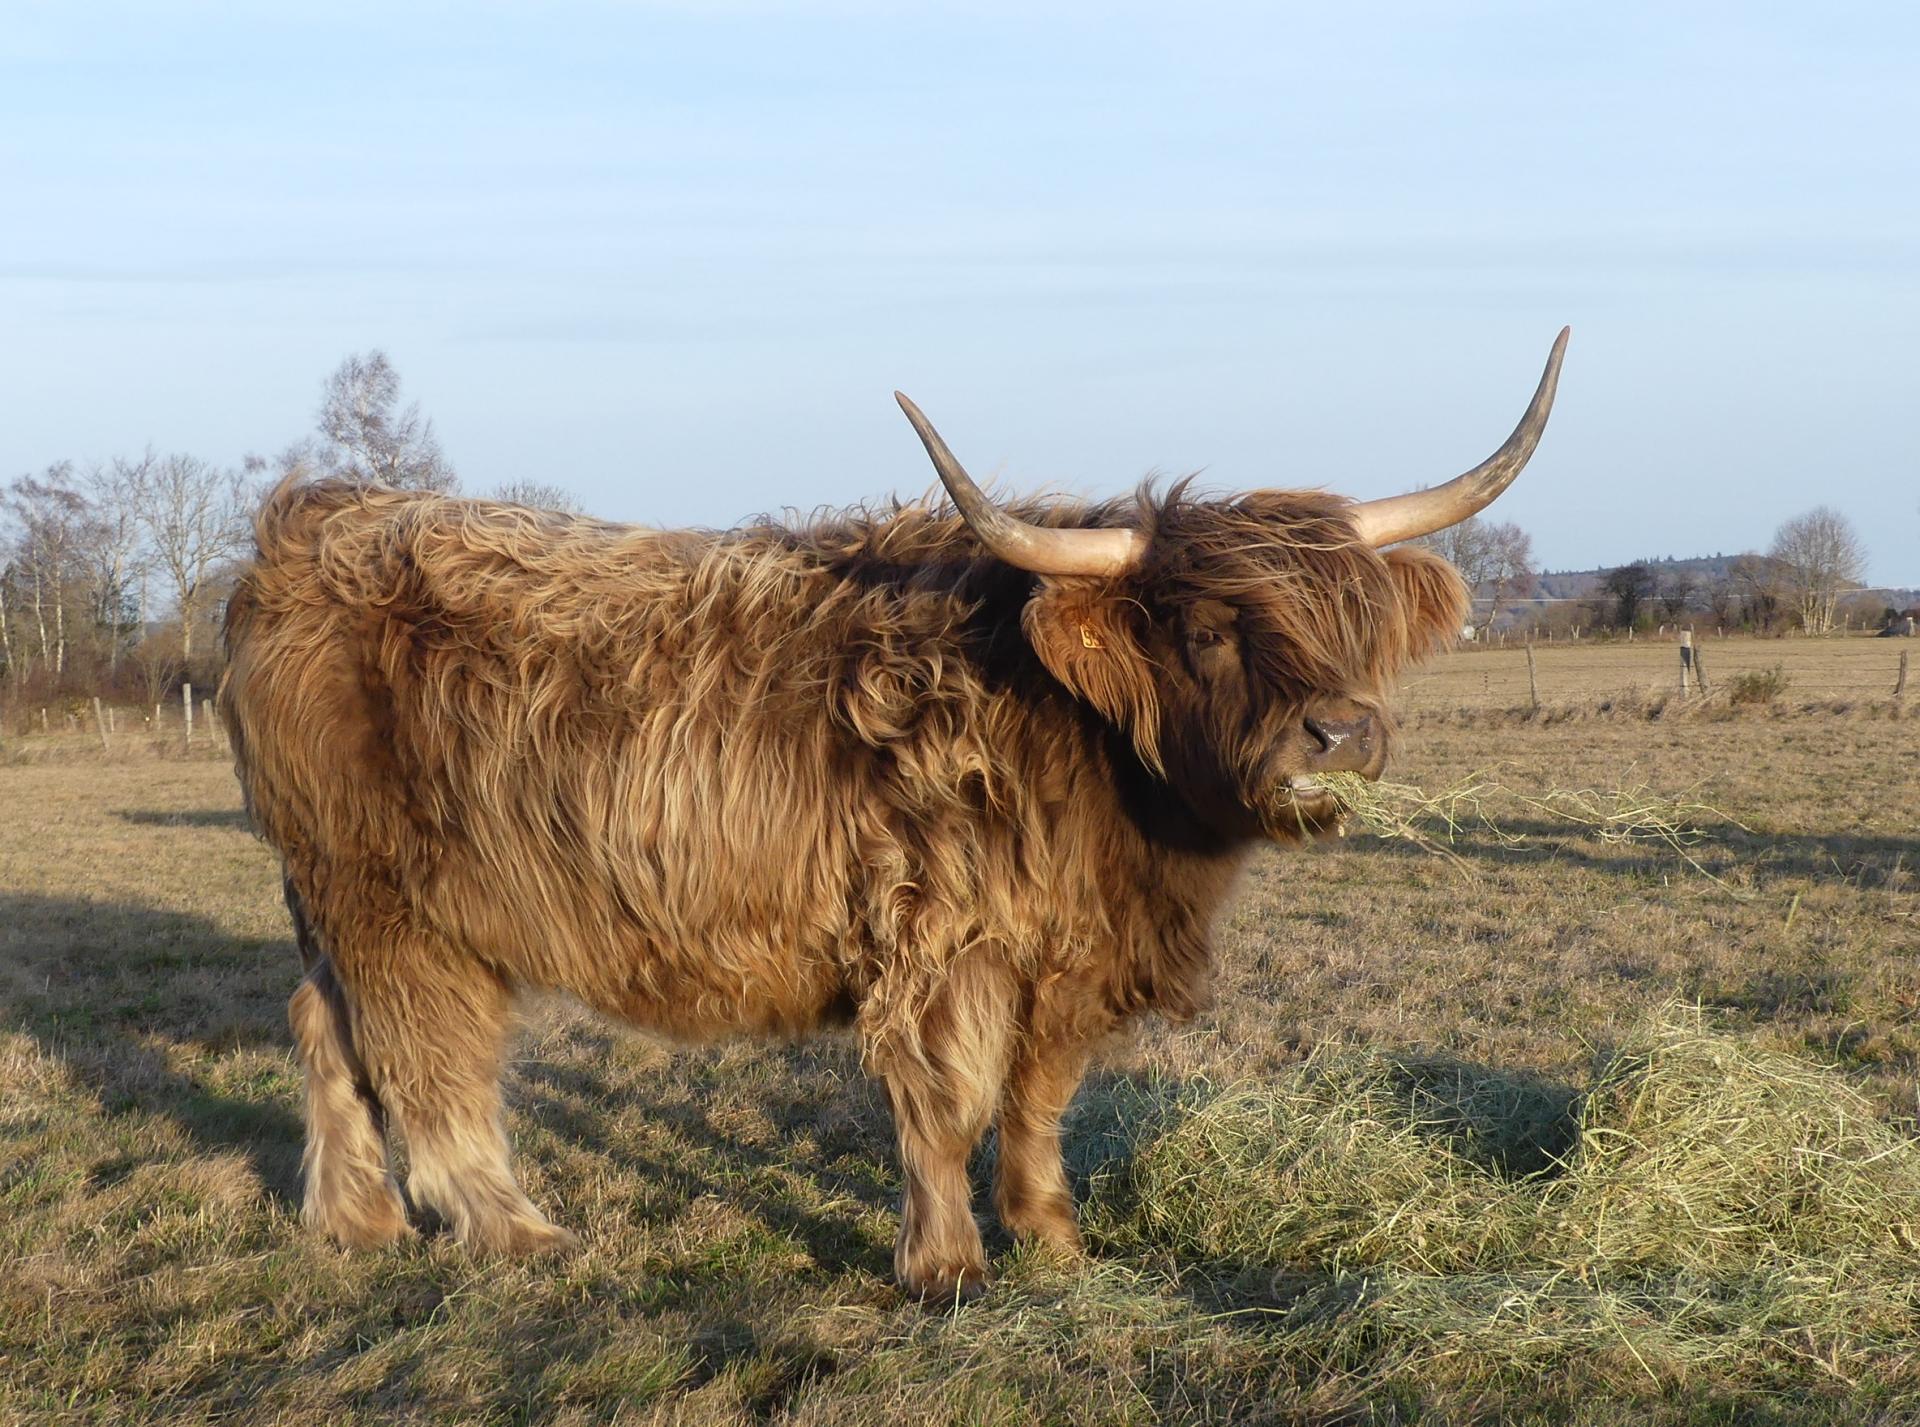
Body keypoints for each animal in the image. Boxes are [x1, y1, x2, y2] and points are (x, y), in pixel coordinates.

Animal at [224, 328, 1566, 1298]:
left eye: (1353, 620)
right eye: (1205, 628)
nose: (1340, 733)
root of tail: (318, 522)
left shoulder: (1065, 956)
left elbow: (1036, 1098)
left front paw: (1054, 1239)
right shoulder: (934, 941)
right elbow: (945, 1101)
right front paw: (947, 1264)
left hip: (334, 904)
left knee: (322, 1030)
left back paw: (357, 1222)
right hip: (395, 906)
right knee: (428, 1062)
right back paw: (514, 1230)